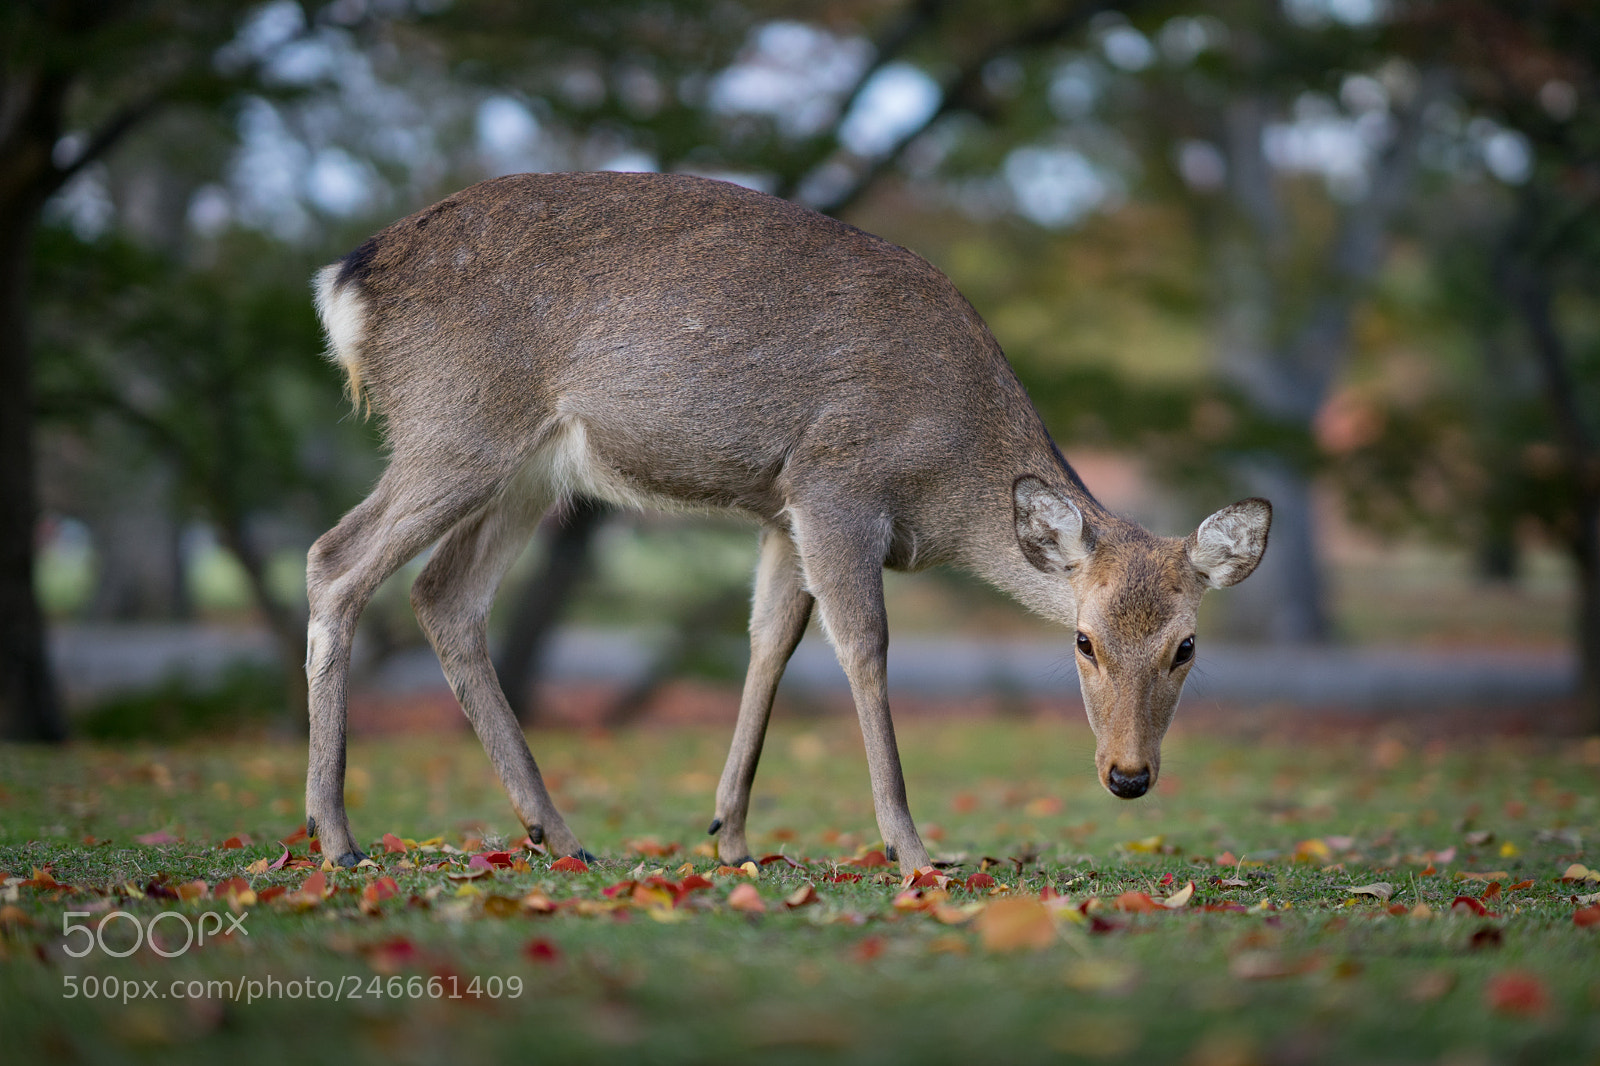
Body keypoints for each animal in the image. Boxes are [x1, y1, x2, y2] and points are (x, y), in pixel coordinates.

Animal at [303, 171, 1271, 875]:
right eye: (1083, 641)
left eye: (1186, 645)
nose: (1129, 775)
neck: (949, 481)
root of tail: (346, 281)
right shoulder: (835, 482)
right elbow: (863, 646)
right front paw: (913, 849)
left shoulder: (779, 510)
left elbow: (770, 640)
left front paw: (729, 835)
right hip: (456, 423)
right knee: (335, 559)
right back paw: (337, 836)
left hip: (530, 469)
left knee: (444, 594)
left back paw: (558, 833)